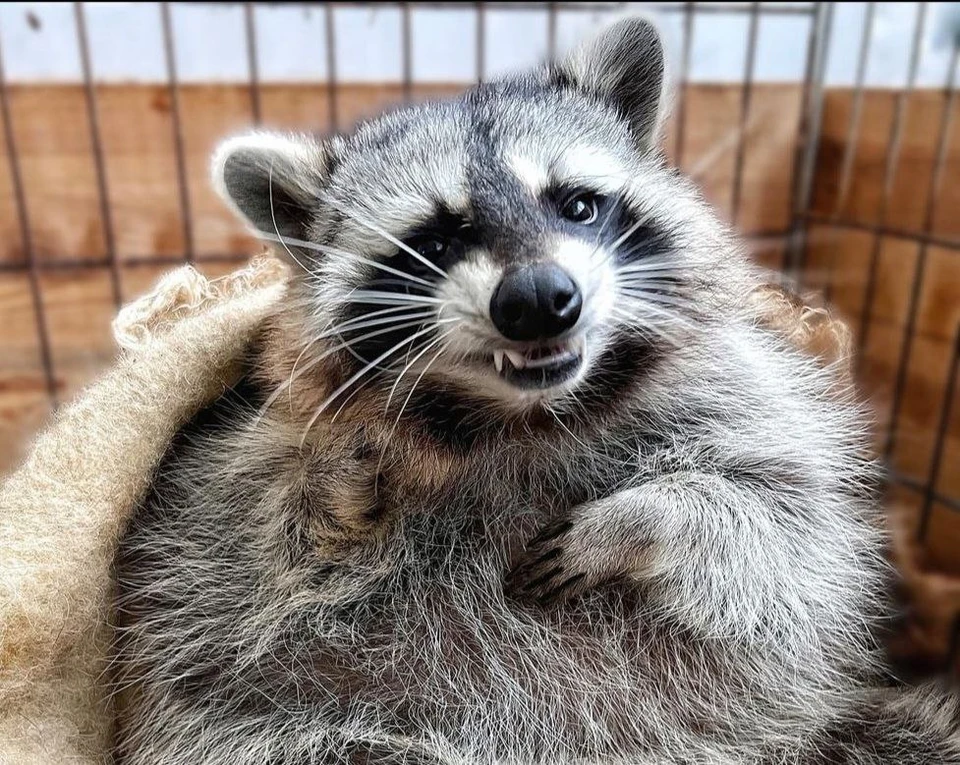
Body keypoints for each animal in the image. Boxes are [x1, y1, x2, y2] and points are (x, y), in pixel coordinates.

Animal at [114, 14, 960, 760]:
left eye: (577, 203)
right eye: (436, 240)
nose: (538, 299)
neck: (527, 413)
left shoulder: (752, 403)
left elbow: (780, 523)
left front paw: (647, 518)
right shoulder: (241, 460)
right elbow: (265, 532)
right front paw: (336, 482)